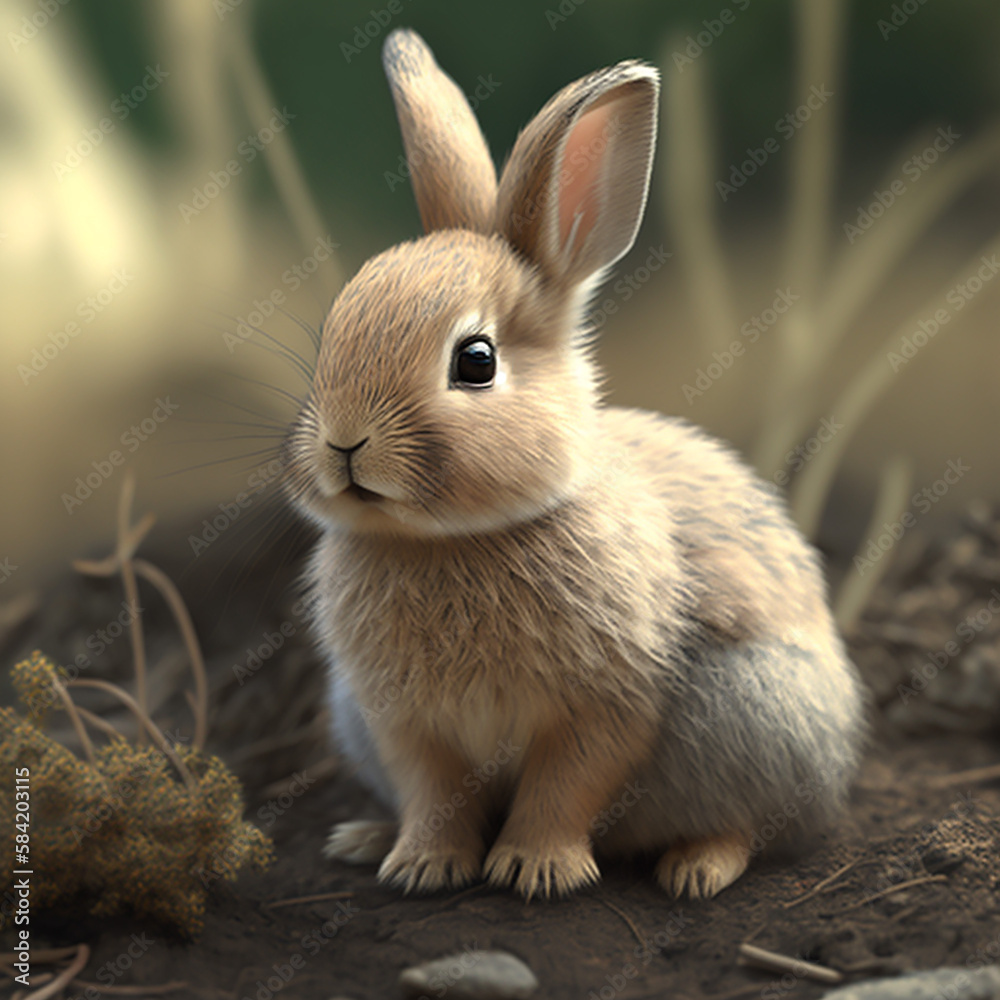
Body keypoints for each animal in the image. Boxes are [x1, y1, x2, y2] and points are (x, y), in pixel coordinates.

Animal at [282, 28, 866, 900]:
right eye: (334, 336)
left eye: (476, 361)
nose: (343, 444)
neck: (457, 538)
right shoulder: (403, 723)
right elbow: (433, 793)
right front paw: (422, 866)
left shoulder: (608, 703)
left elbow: (566, 784)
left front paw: (535, 871)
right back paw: (364, 837)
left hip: (760, 712)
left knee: (756, 828)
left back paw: (696, 870)